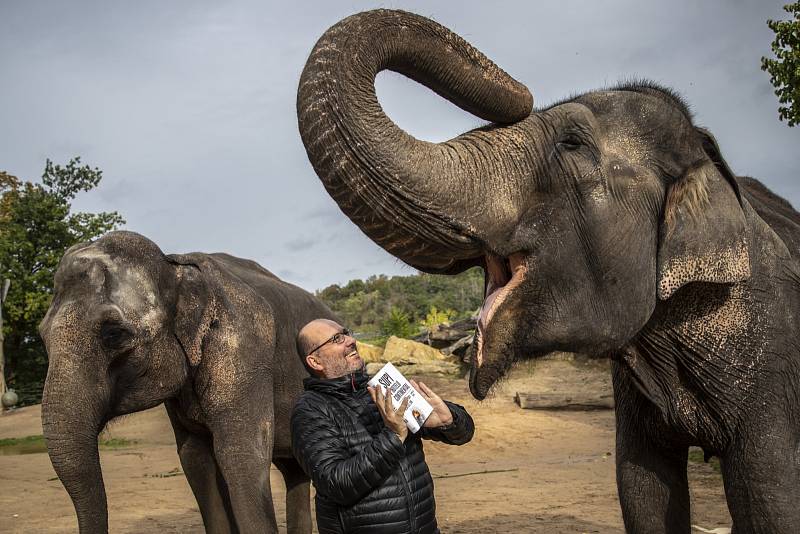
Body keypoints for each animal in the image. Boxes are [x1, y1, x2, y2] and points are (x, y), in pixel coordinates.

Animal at [38, 232, 328, 534]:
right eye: (41, 336)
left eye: (113, 334)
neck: (174, 266)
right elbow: (195, 458)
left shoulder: (244, 347)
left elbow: (242, 455)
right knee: (293, 471)